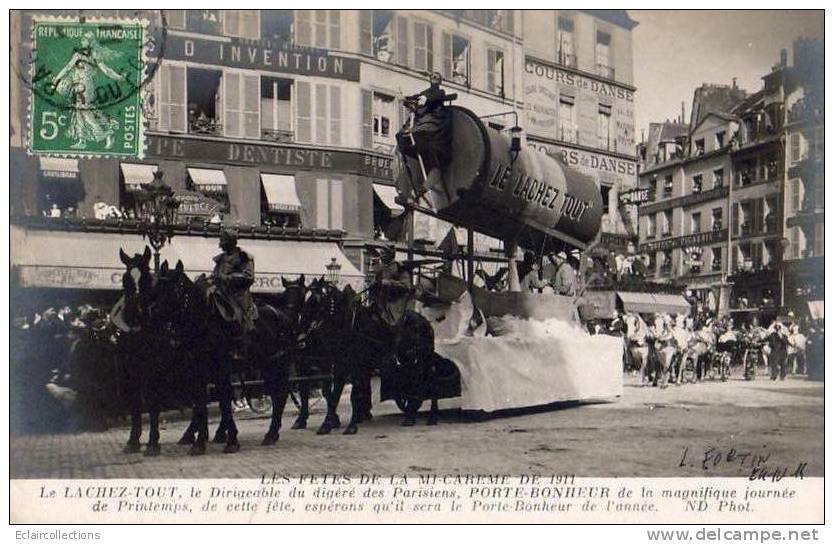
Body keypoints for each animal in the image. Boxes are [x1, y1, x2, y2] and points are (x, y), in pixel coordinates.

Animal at [300, 278, 442, 436]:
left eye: (316, 300)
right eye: (307, 298)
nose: (302, 330)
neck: (349, 325)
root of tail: (425, 322)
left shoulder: (357, 367)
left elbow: (354, 395)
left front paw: (352, 425)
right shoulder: (340, 366)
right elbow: (334, 395)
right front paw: (327, 424)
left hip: (424, 359)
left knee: (430, 382)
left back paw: (431, 417)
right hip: (409, 361)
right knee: (414, 383)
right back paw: (410, 417)